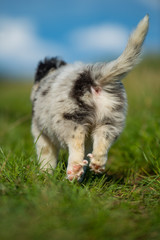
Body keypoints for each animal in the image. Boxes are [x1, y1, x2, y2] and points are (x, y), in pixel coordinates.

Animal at [31, 15, 149, 180]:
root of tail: (94, 78)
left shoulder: (40, 132)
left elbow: (46, 157)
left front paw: (44, 175)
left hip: (71, 118)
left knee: (76, 146)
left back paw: (73, 171)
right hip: (110, 121)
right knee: (101, 144)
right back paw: (95, 165)